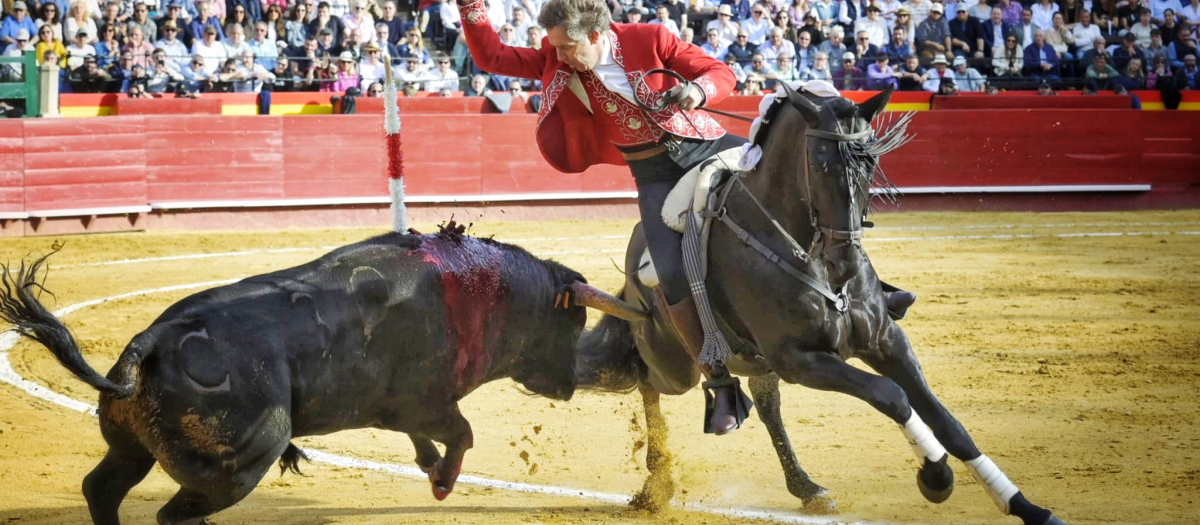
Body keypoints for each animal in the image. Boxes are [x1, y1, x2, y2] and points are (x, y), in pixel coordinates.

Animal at [0, 228, 648, 525]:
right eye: (572, 322)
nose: (571, 384)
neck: (481, 289)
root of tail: (151, 341)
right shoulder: (428, 403)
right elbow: (462, 434)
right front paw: (441, 483)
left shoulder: (404, 413)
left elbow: (428, 441)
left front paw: (428, 468)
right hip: (238, 466)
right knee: (171, 513)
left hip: (131, 446)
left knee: (102, 488)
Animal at [578, 83, 1070, 525]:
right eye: (819, 164)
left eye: (871, 161)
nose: (846, 260)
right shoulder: (802, 359)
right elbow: (891, 396)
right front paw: (936, 477)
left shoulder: (886, 340)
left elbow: (949, 423)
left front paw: (1028, 507)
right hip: (676, 361)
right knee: (646, 381)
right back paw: (657, 483)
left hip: (753, 361)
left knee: (767, 406)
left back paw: (807, 488)